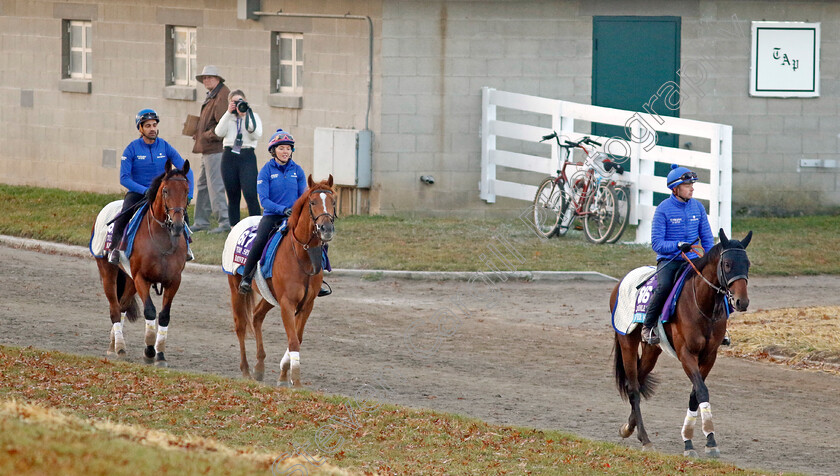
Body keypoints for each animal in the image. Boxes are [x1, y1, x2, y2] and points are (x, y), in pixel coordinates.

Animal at [95, 158, 190, 366]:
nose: (178, 225)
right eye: (165, 190)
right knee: (115, 309)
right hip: (108, 272)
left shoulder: (174, 281)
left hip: (129, 278)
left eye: (187, 191)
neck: (162, 240)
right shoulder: (141, 278)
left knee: (122, 306)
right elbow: (150, 311)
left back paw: (113, 345)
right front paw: (149, 351)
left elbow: (164, 315)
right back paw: (120, 347)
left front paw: (160, 354)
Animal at [230, 175, 338, 386]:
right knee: (241, 326)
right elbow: (293, 340)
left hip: (269, 296)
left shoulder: (306, 305)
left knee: (257, 317)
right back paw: (246, 371)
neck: (301, 255)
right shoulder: (287, 303)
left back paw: (259, 367)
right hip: (235, 287)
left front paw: (283, 375)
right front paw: (295, 380)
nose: (326, 229)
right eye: (313, 202)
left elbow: (297, 337)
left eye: (333, 202)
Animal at [612, 229, 756, 460]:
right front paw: (707, 441)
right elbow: (702, 391)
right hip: (627, 341)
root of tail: (622, 281)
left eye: (748, 264)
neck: (703, 306)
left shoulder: (709, 356)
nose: (741, 301)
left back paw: (628, 427)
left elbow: (695, 395)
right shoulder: (686, 353)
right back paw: (645, 439)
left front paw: (691, 440)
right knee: (633, 387)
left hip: (652, 350)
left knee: (639, 382)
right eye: (727, 264)